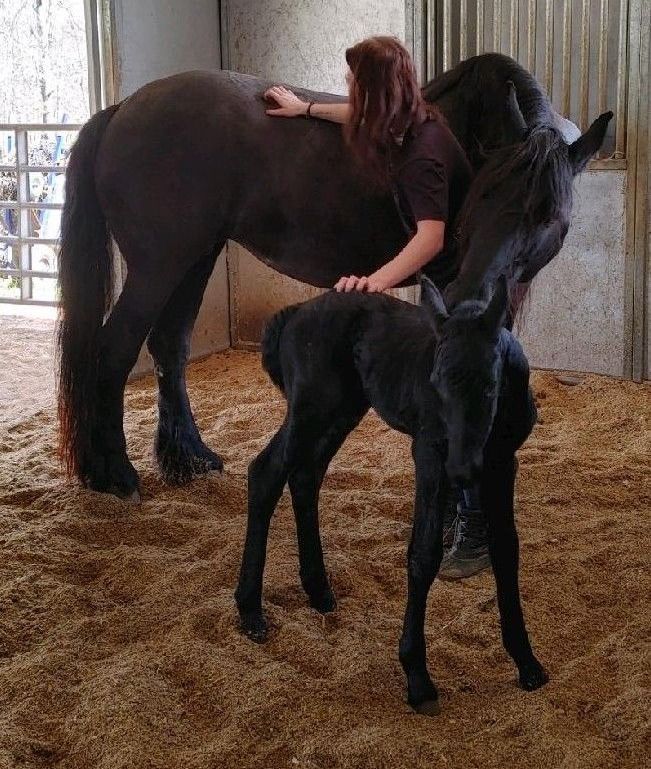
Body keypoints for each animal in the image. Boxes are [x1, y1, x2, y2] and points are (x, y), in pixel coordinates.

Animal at [56, 53, 611, 498]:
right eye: (484, 194)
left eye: (549, 215)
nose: (470, 292)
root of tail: (124, 108)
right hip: (159, 265)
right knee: (114, 350)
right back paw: (115, 475)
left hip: (194, 257)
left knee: (170, 346)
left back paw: (189, 458)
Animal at [235, 275, 544, 714]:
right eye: (434, 383)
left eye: (489, 385)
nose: (462, 471)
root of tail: (294, 313)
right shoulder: (429, 454)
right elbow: (424, 553)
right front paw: (417, 677)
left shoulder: (502, 463)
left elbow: (506, 549)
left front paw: (526, 662)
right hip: (311, 410)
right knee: (266, 474)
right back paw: (250, 611)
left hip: (341, 411)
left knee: (306, 476)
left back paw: (318, 590)